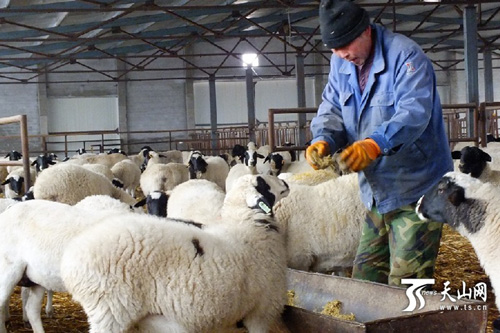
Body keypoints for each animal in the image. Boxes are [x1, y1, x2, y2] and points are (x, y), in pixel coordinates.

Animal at [60, 174, 292, 332]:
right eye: (263, 183)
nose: (286, 183)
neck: (247, 227)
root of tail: (72, 258)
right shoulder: (261, 312)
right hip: (110, 312)